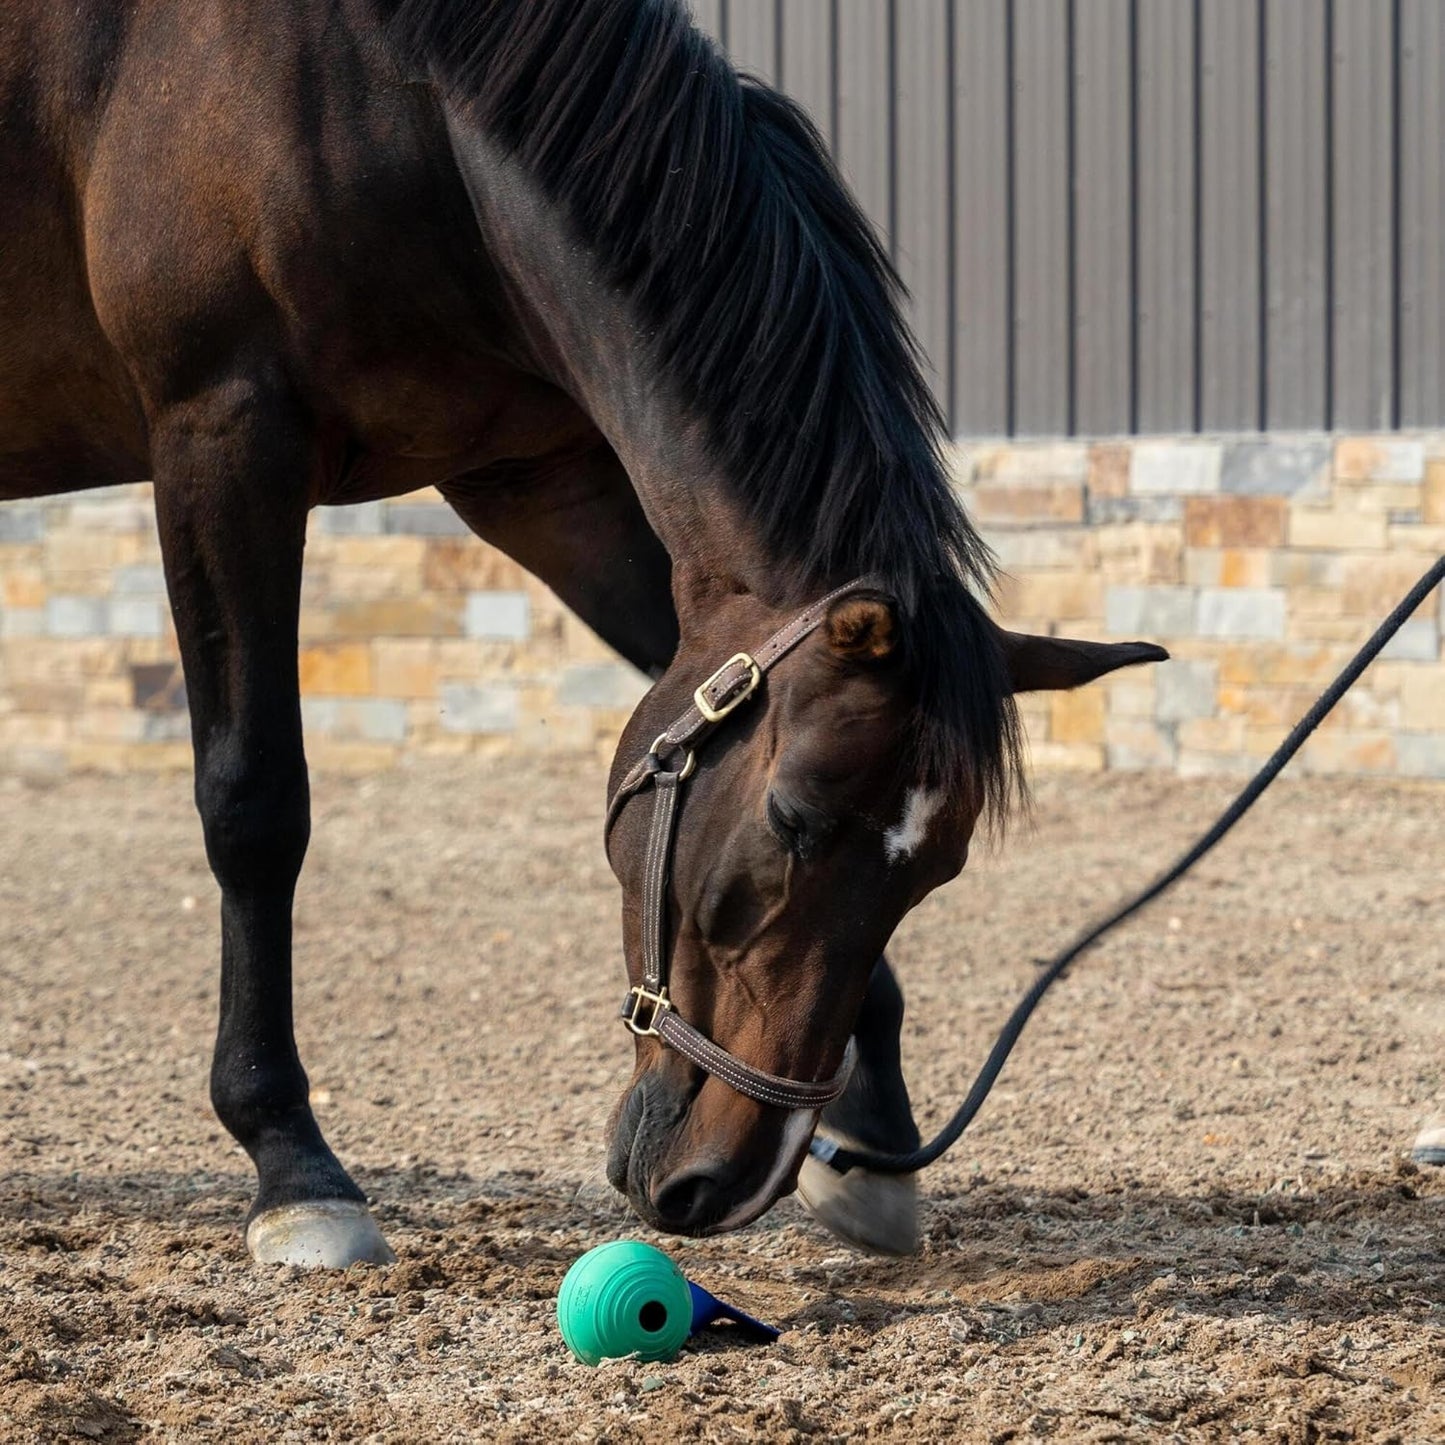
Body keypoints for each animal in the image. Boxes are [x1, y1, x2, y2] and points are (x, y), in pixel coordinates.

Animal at [0, 0, 1166, 1267]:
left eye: (937, 867)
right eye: (789, 820)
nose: (716, 1181)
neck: (383, 98)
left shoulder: (545, 482)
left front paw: (863, 1138)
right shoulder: (222, 438)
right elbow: (255, 803)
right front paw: (294, 1167)